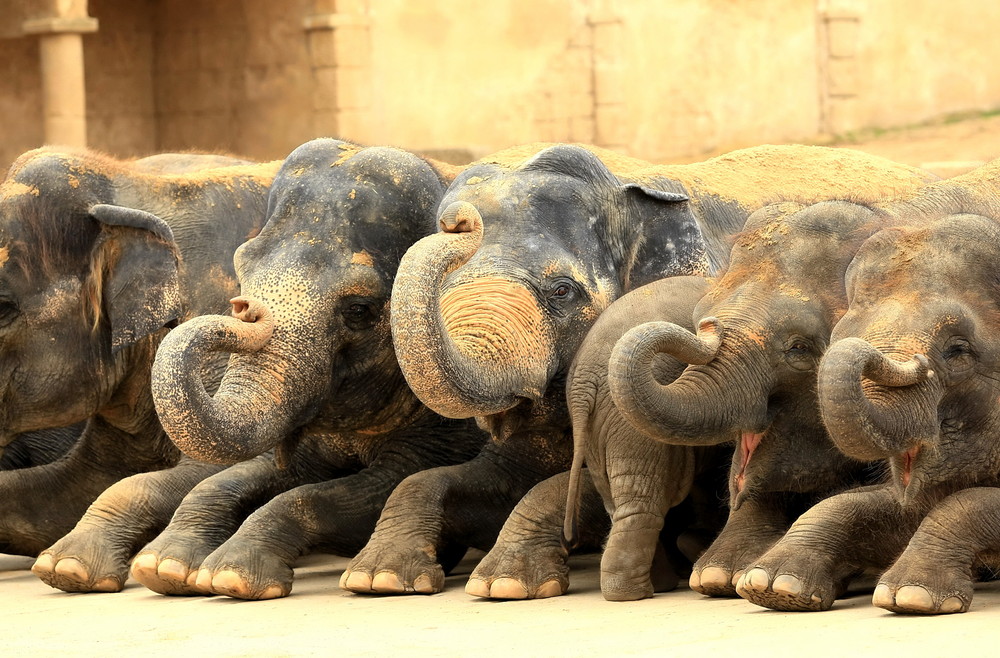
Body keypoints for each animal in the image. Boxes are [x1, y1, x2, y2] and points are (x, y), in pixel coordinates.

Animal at [43, 140, 488, 600]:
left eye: (359, 310)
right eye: (241, 271)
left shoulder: (447, 424)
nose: (246, 310)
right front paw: (164, 569)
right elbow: (247, 475)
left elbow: (372, 487)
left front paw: (230, 575)